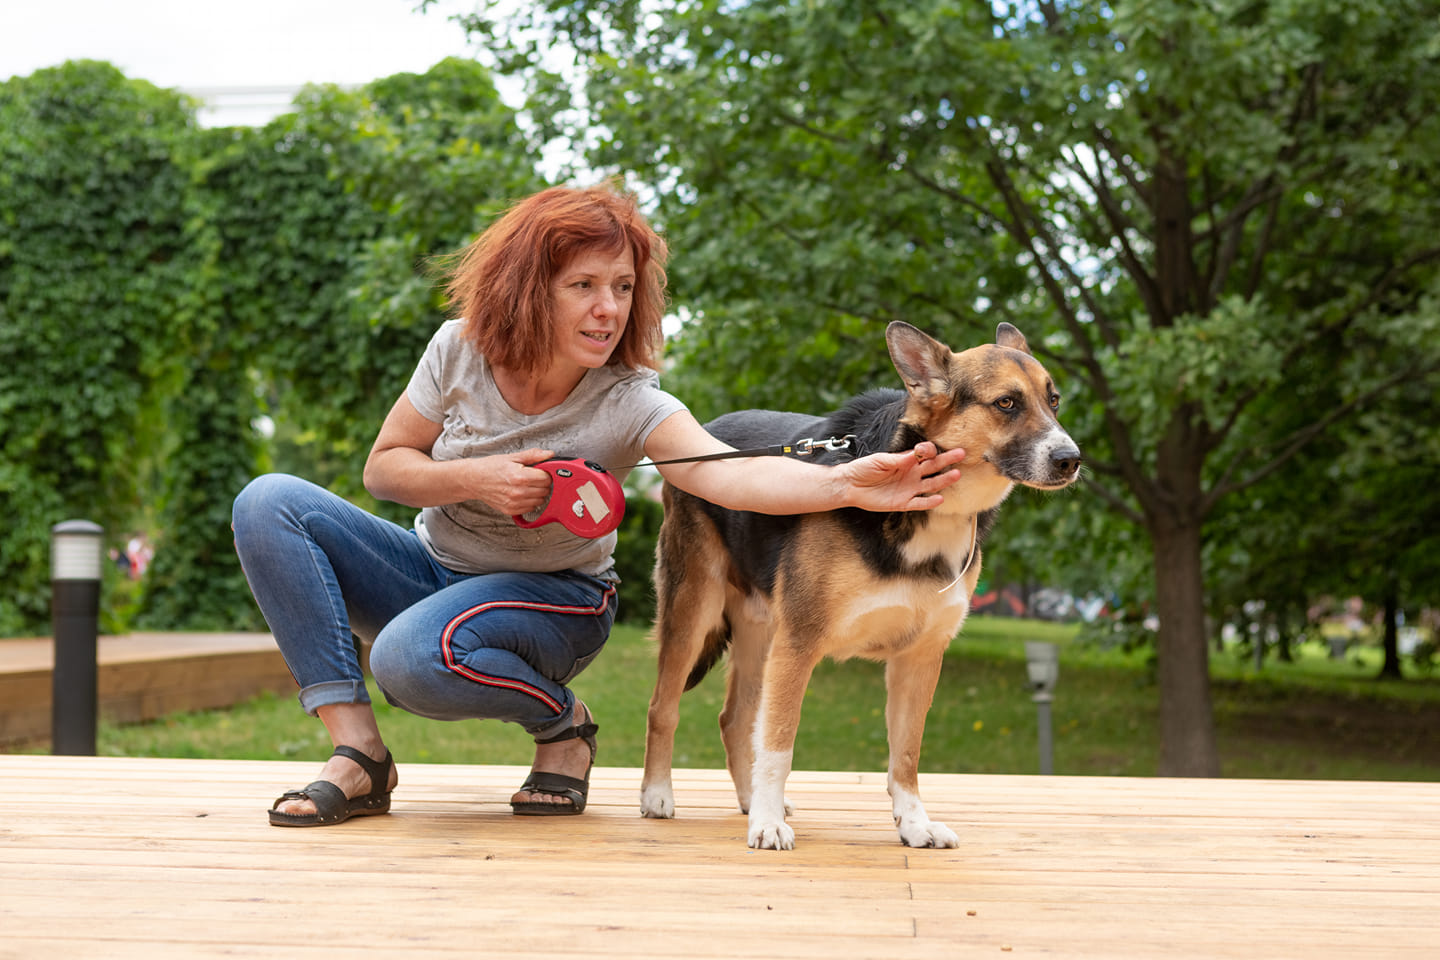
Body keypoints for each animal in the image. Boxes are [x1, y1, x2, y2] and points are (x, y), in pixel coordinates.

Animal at [642, 322, 1082, 846]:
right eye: (1007, 403)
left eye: (1053, 400)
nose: (1071, 459)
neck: (930, 513)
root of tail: (707, 429)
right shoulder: (798, 644)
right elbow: (779, 743)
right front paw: (768, 823)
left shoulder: (919, 657)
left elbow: (906, 756)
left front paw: (914, 823)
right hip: (694, 611)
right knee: (663, 707)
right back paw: (660, 795)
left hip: (760, 632)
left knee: (734, 720)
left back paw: (749, 800)